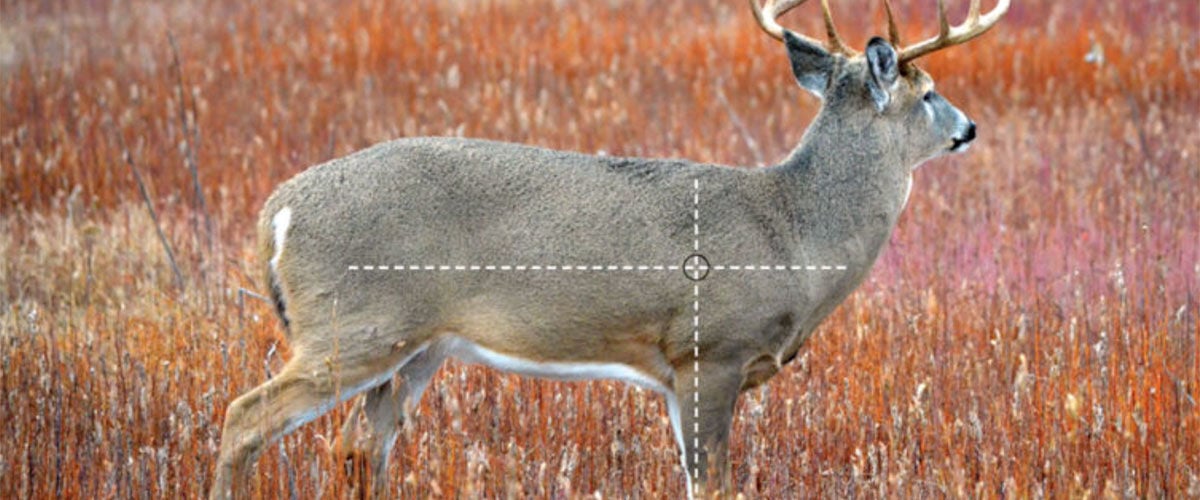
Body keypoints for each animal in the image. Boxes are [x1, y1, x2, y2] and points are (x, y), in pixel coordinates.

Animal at [210, 0, 1010, 497]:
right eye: (929, 92)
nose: (970, 128)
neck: (794, 233)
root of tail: (276, 212)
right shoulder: (708, 351)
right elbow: (712, 486)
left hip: (417, 346)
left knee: (356, 447)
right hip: (354, 325)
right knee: (244, 418)